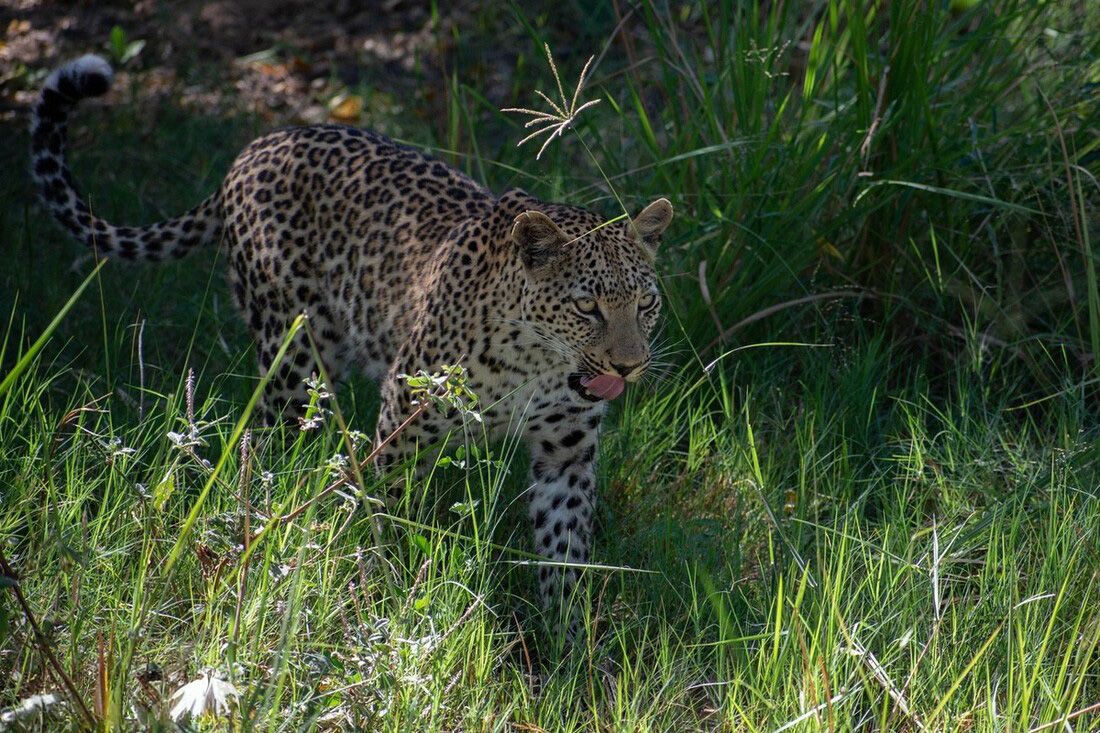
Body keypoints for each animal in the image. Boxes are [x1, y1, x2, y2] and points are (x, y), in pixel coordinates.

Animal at [31, 55, 673, 638]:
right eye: (586, 307)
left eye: (647, 304)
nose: (629, 366)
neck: (538, 365)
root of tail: (255, 148)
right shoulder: (406, 417)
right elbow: (389, 512)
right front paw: (392, 591)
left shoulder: (568, 454)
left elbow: (565, 552)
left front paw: (569, 647)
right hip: (293, 364)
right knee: (271, 451)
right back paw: (264, 522)